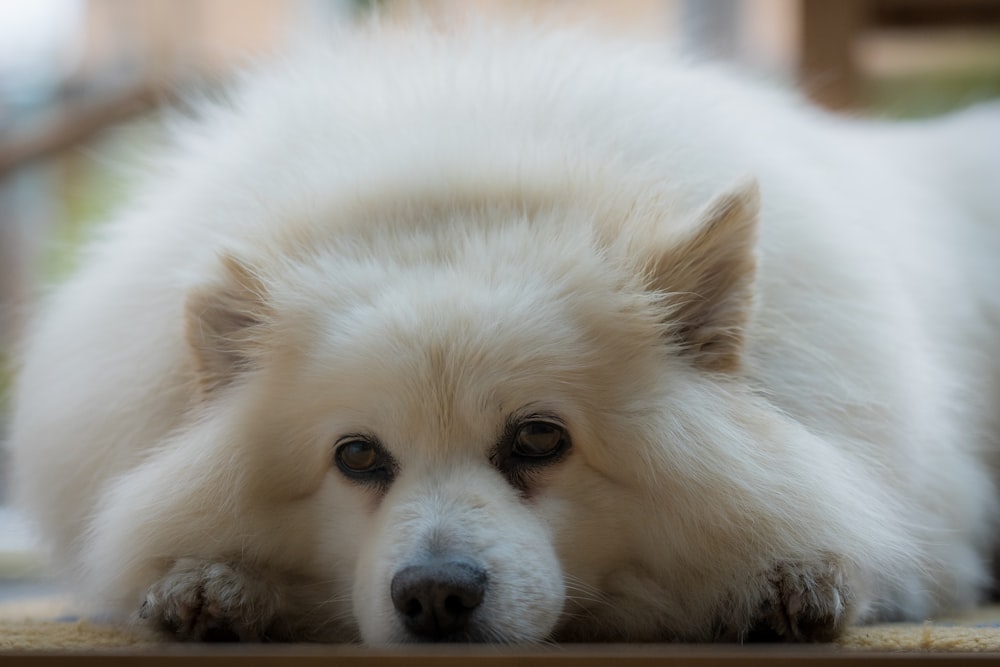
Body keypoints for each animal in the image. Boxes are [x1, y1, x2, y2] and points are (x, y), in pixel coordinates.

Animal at [5, 23, 1000, 644]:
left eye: (539, 439)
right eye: (357, 455)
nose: (435, 595)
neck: (460, 184)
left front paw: (779, 583)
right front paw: (211, 584)